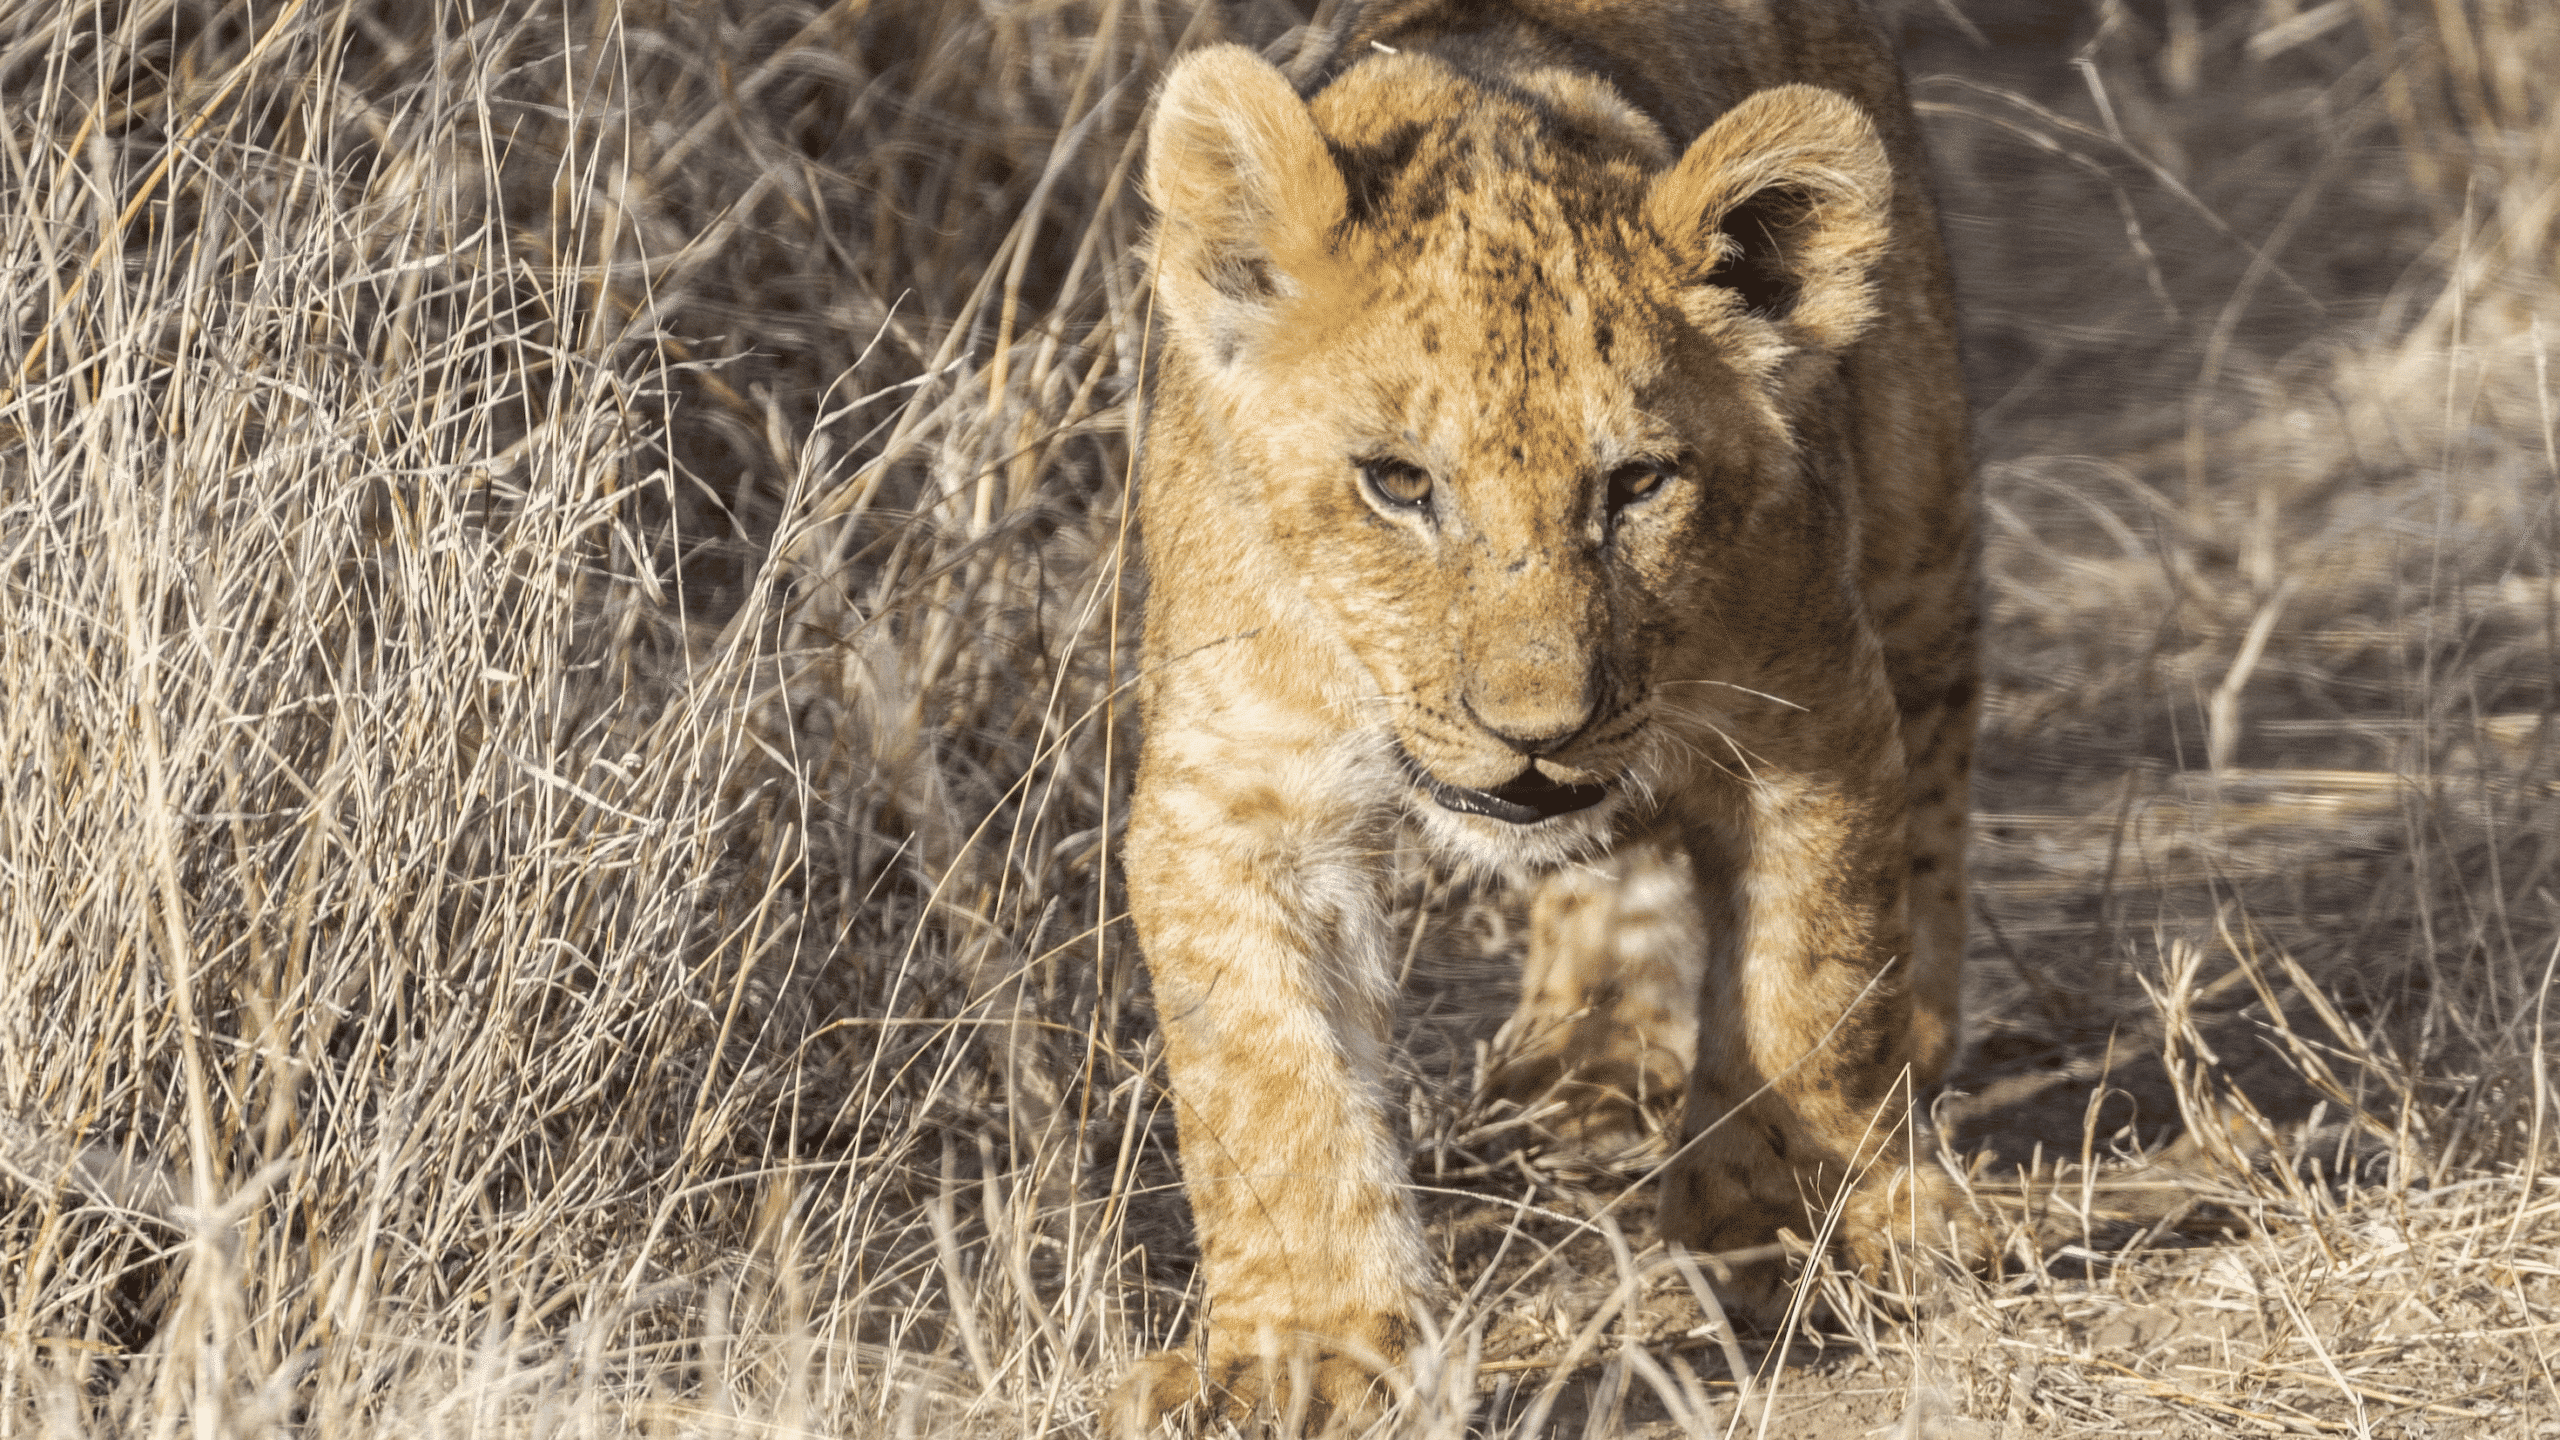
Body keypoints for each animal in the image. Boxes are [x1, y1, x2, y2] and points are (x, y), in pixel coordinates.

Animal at [1117, 0, 1979, 1431]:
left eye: (1635, 485)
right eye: (1398, 483)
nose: (1538, 730)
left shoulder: (1812, 711)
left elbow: (1809, 980)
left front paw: (1791, 1230)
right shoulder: (1235, 787)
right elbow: (1268, 1078)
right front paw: (1308, 1353)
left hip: (1919, 522)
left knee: (1937, 779)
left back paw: (1910, 1064)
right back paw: (1590, 1055)